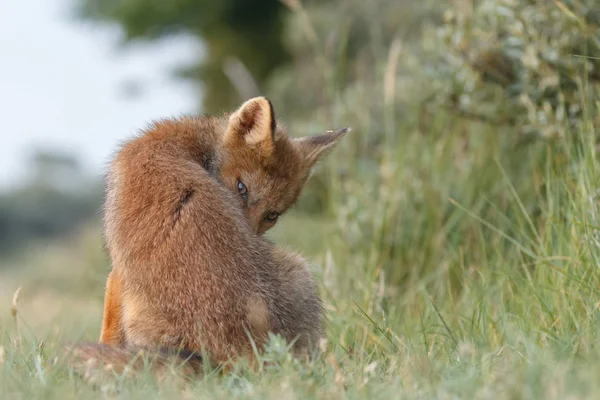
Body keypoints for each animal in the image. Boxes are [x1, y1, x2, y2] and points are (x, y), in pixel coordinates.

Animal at [62, 96, 346, 384]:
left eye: (271, 215)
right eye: (241, 188)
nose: (246, 235)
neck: (193, 145)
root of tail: (231, 361)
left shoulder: (118, 273)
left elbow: (108, 332)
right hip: (300, 272)